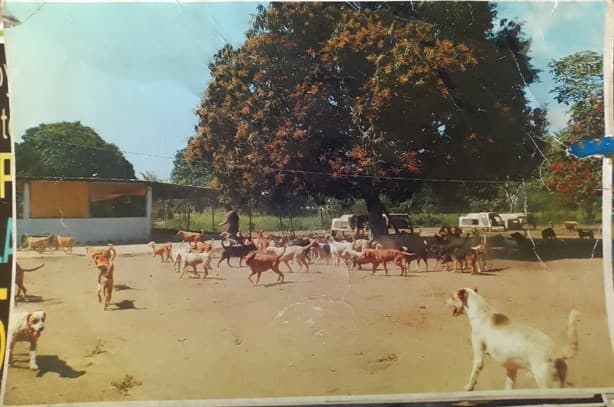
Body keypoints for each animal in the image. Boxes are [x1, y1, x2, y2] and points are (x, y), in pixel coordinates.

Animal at [450, 288, 580, 390]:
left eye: (452, 297)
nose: (445, 301)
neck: (482, 313)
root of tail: (555, 351)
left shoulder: (478, 356)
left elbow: (474, 373)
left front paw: (469, 387)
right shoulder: (511, 368)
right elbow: (509, 386)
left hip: (546, 384)